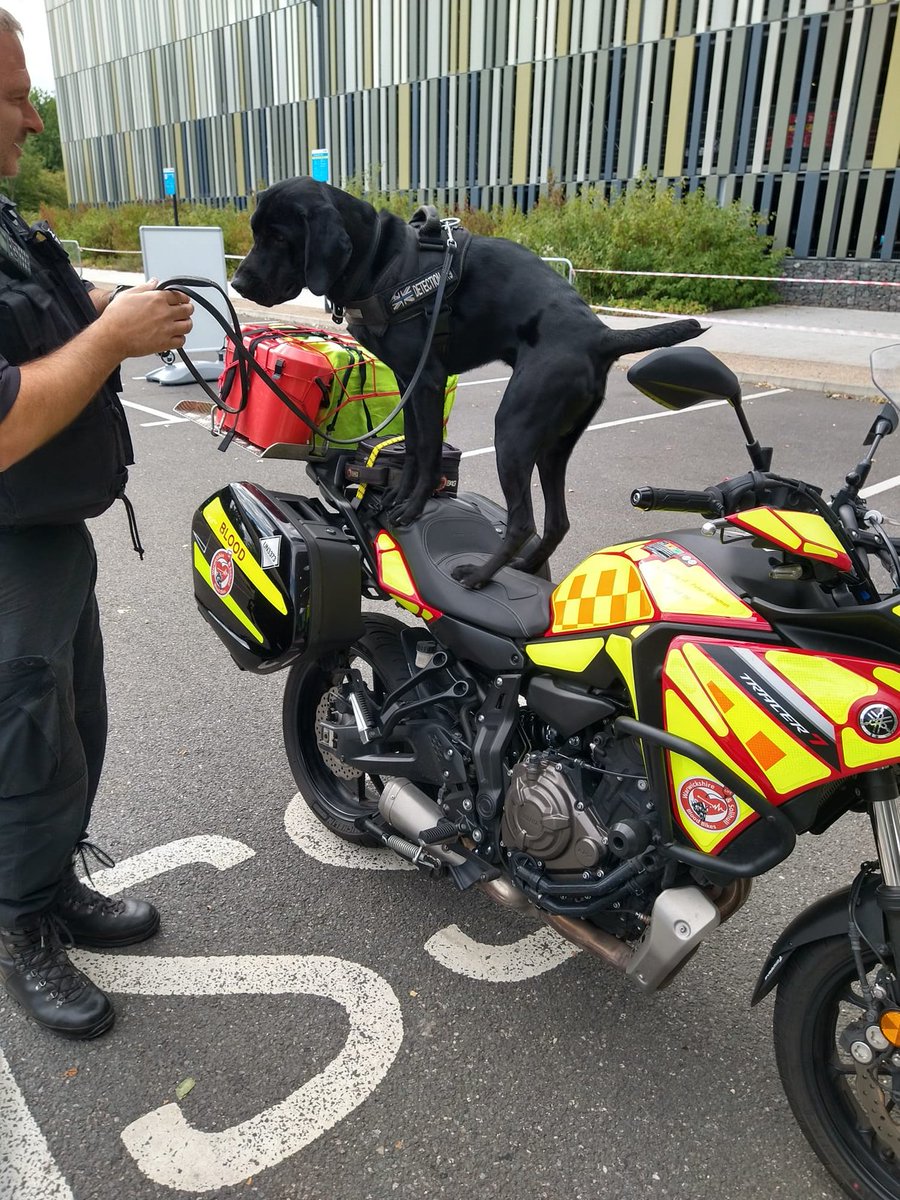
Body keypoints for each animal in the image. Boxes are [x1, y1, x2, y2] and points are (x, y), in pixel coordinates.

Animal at [230, 178, 705, 590]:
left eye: (278, 237)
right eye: (256, 232)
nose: (237, 281)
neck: (380, 261)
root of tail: (602, 335)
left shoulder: (428, 380)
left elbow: (428, 452)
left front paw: (412, 508)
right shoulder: (409, 380)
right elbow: (414, 446)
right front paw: (395, 498)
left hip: (513, 428)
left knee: (523, 520)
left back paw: (480, 575)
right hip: (553, 445)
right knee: (557, 521)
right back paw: (524, 568)